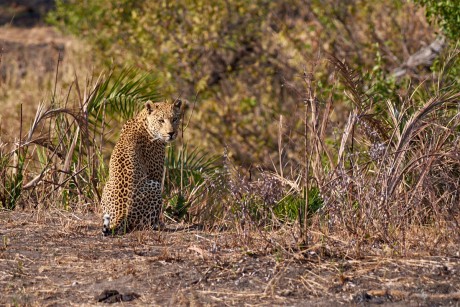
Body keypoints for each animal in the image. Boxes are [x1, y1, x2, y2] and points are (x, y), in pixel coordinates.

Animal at [100, 99, 183, 236]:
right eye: (161, 120)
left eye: (175, 119)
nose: (171, 133)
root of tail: (121, 214)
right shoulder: (156, 175)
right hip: (155, 186)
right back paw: (157, 225)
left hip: (106, 186)